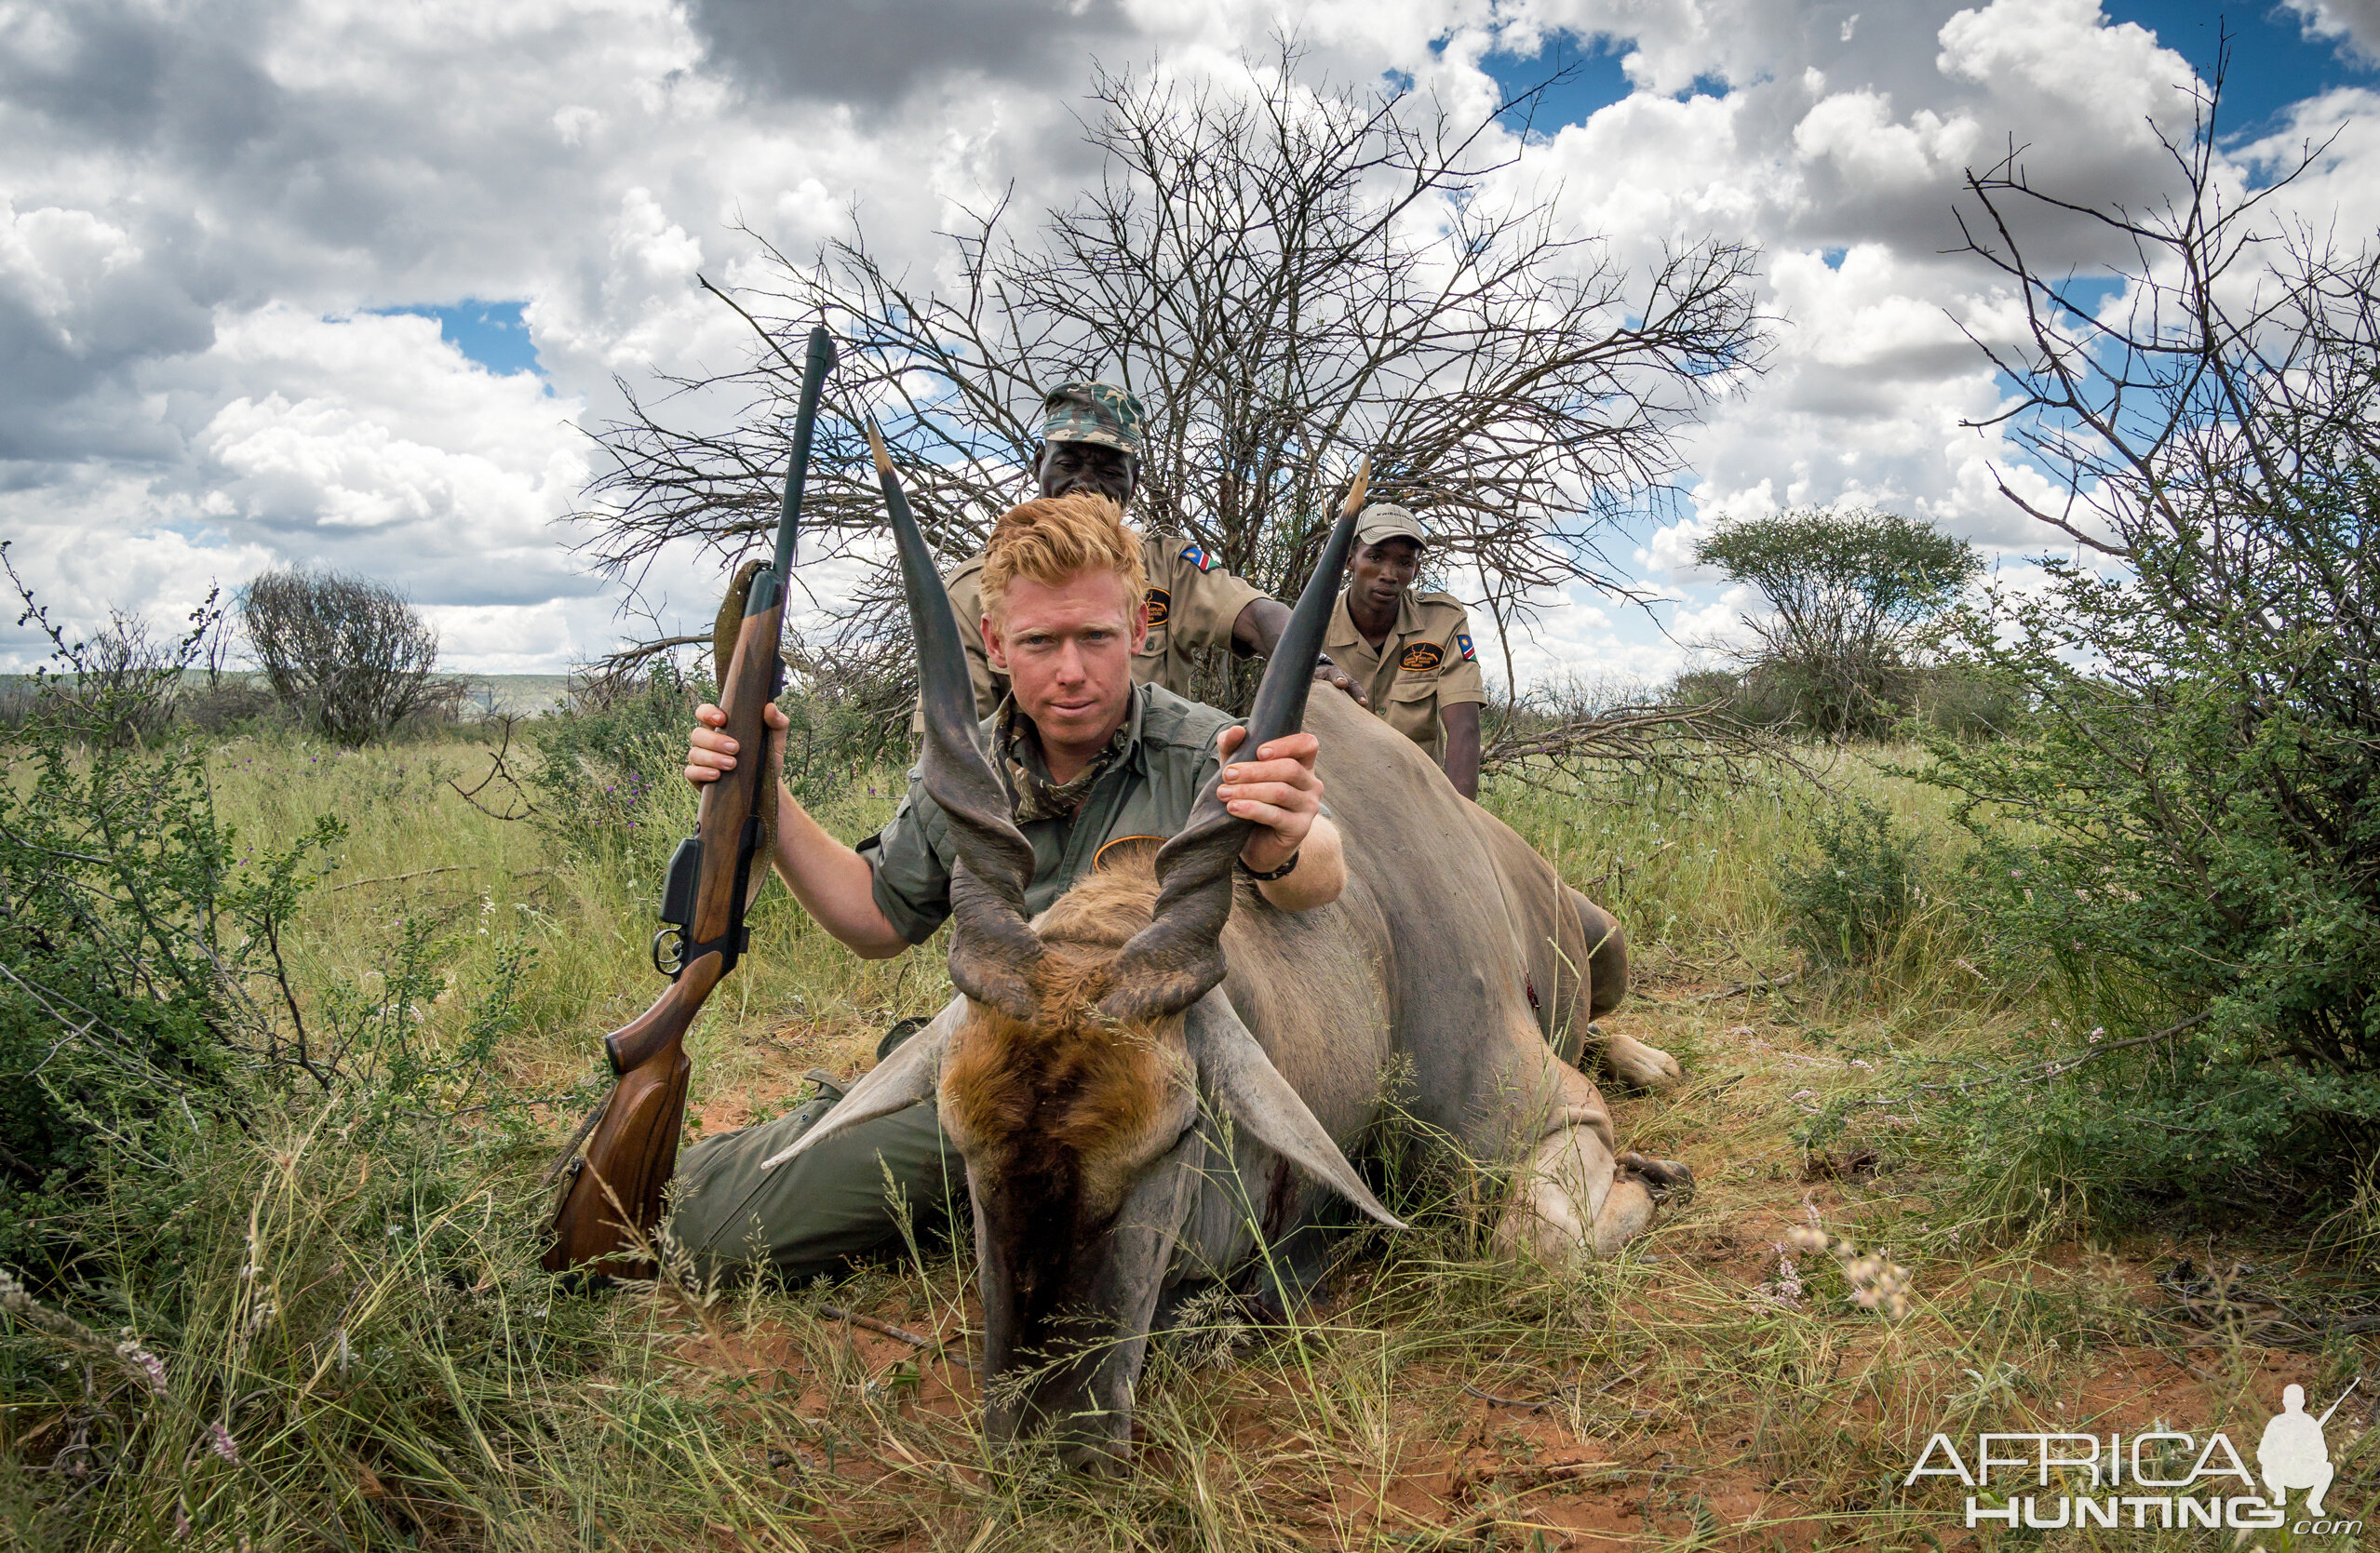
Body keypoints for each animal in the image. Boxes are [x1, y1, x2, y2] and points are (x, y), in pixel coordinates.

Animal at [771, 433, 1685, 1465]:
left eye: (1178, 1133)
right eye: (958, 1139)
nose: (1050, 1442)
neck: (1370, 944)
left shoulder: (1551, 1114)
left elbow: (1535, 1250)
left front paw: (1653, 1177)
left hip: (1608, 944)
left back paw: (1649, 1063)